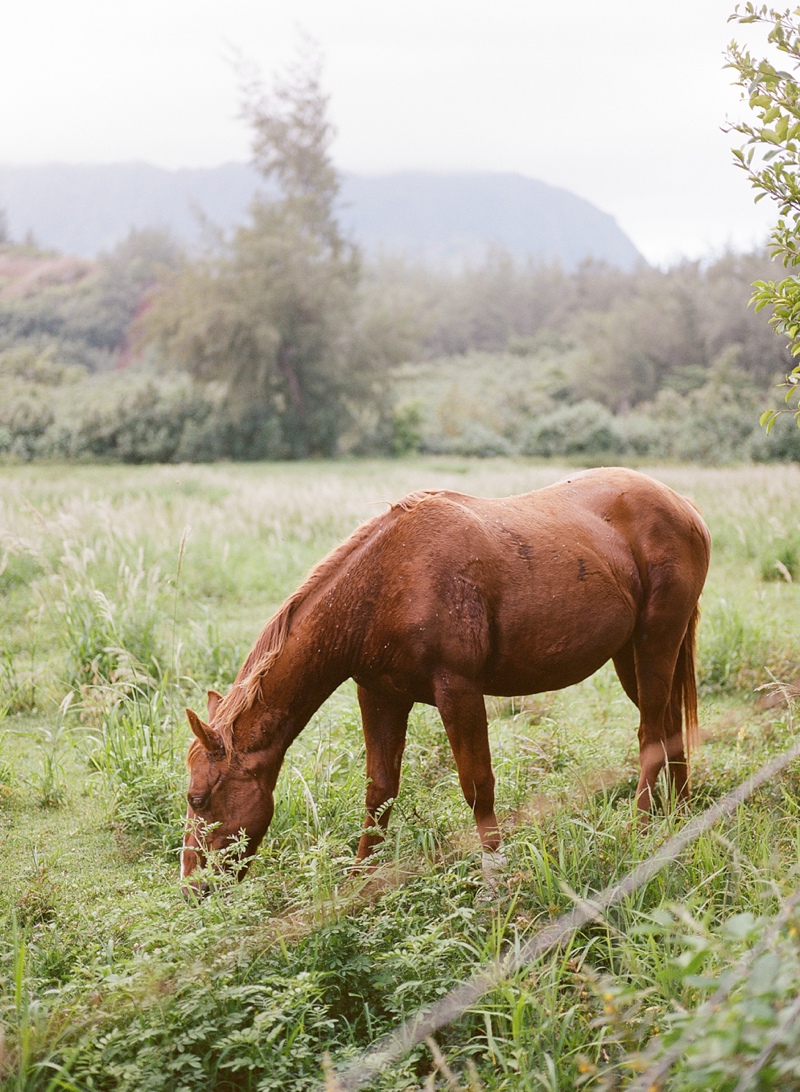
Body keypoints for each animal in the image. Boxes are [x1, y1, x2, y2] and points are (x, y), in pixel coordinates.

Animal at [182, 465, 711, 891]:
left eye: (198, 798)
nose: (192, 889)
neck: (382, 586)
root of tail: (685, 507)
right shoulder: (379, 696)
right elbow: (379, 792)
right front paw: (356, 887)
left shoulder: (459, 691)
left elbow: (477, 786)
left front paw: (495, 883)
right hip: (632, 655)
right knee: (668, 726)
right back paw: (680, 817)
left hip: (655, 642)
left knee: (650, 731)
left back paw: (641, 828)